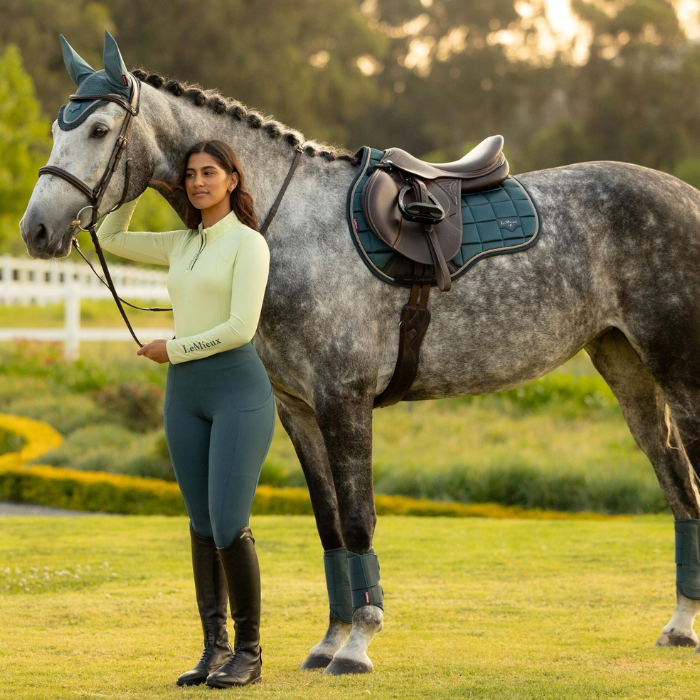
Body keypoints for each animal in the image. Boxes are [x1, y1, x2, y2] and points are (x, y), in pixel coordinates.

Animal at [20, 31, 700, 674]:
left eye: (100, 129)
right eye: (56, 127)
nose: (35, 230)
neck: (285, 227)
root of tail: (687, 196)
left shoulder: (343, 402)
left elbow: (357, 519)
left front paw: (357, 643)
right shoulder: (298, 410)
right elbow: (328, 525)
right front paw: (330, 639)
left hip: (680, 373)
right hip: (625, 365)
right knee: (676, 478)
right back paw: (680, 624)